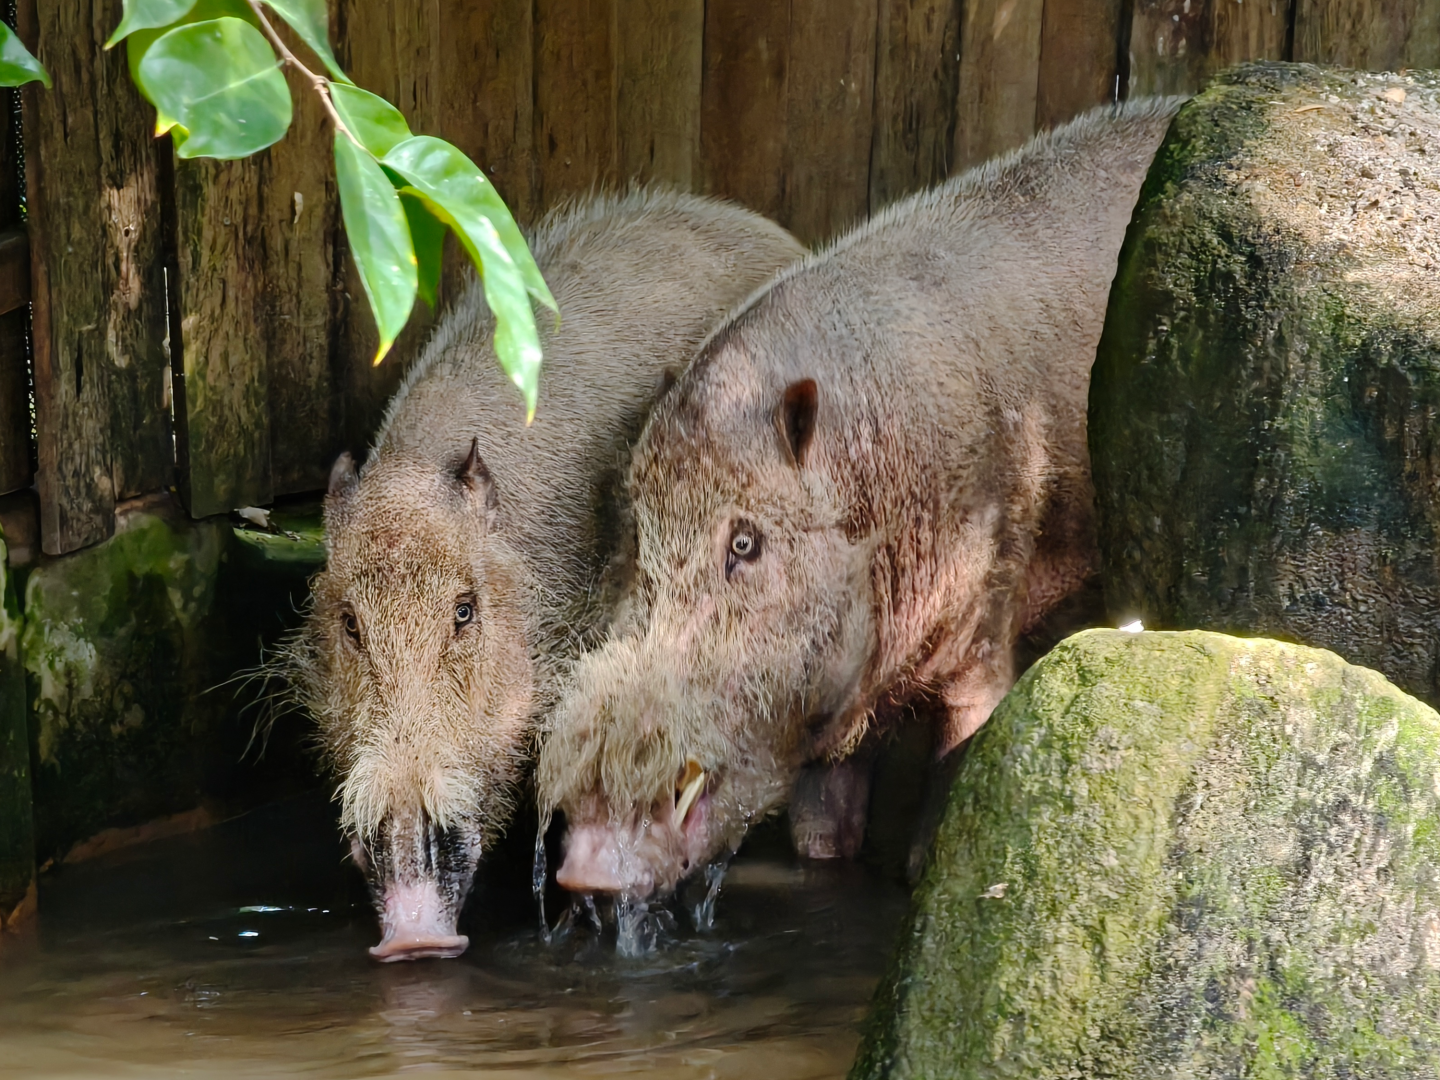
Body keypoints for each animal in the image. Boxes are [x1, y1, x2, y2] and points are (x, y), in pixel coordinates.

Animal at [538, 98, 1185, 902]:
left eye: (746, 543)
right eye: (636, 537)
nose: (586, 865)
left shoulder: (990, 598)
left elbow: (959, 753)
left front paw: (922, 868)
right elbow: (822, 830)